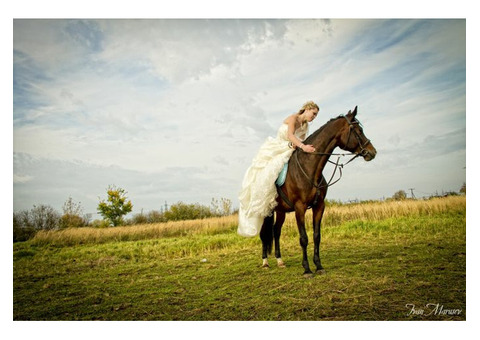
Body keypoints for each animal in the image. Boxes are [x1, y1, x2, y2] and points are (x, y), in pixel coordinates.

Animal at [260, 106, 376, 276]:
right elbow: (303, 238)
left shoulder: (319, 206)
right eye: (358, 130)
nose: (372, 152)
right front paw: (307, 269)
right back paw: (265, 263)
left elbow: (316, 236)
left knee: (276, 231)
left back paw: (280, 261)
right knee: (264, 234)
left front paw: (319, 266)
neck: (309, 167)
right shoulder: (299, 208)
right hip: (265, 212)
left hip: (280, 211)